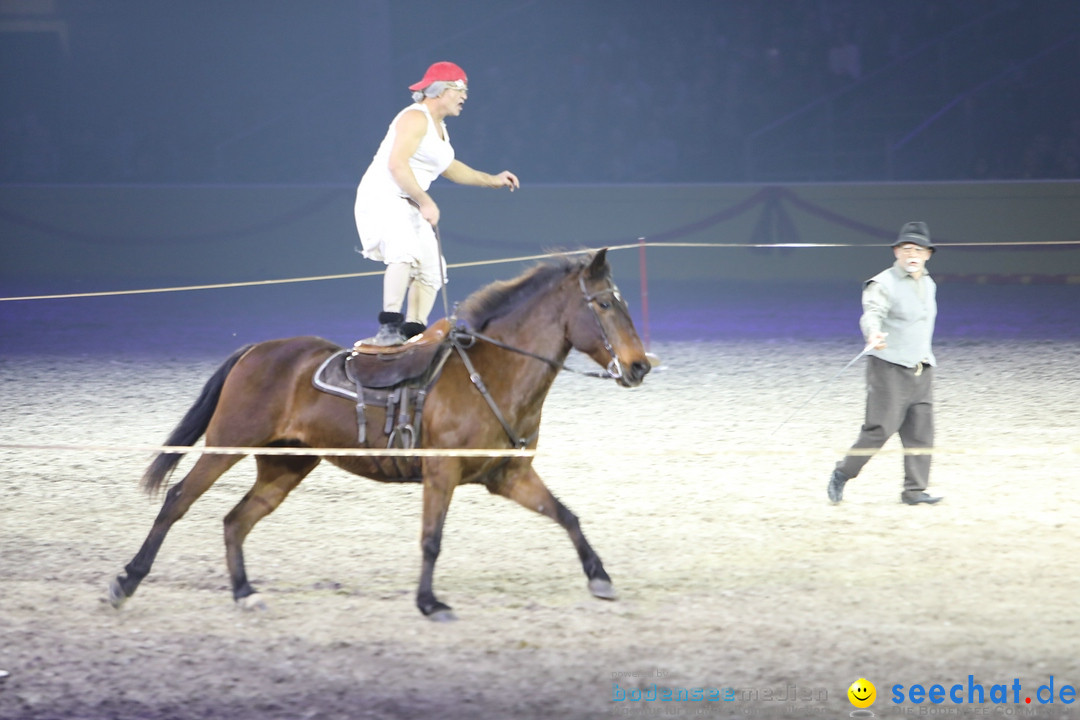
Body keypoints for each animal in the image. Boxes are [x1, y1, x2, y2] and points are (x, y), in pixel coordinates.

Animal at [107, 248, 648, 621]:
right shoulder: (442, 474)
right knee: (178, 499)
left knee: (236, 521)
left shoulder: (508, 476)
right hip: (227, 444)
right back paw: (126, 582)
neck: (491, 374)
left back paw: (245, 593)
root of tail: (257, 350)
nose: (640, 366)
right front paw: (430, 603)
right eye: (604, 304)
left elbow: (567, 516)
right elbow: (431, 539)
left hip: (285, 466)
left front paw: (600, 578)